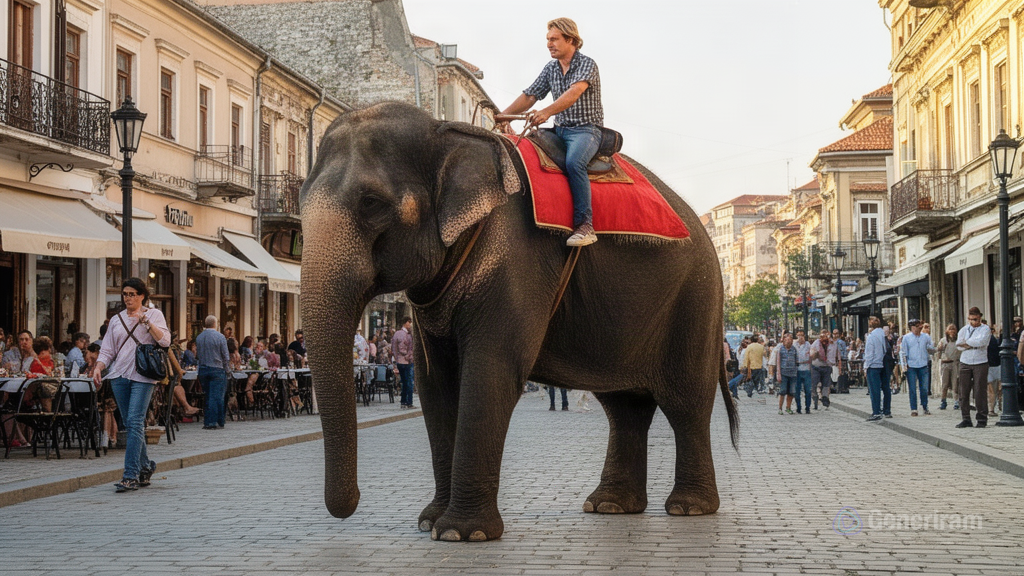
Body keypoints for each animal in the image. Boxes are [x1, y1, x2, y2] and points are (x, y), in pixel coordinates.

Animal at [300, 101, 739, 542]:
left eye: (371, 203)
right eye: (300, 200)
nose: (350, 504)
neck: (446, 133)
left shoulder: (517, 260)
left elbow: (490, 369)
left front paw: (461, 534)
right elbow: (433, 382)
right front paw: (430, 524)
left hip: (695, 299)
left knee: (686, 402)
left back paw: (687, 508)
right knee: (624, 405)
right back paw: (610, 506)